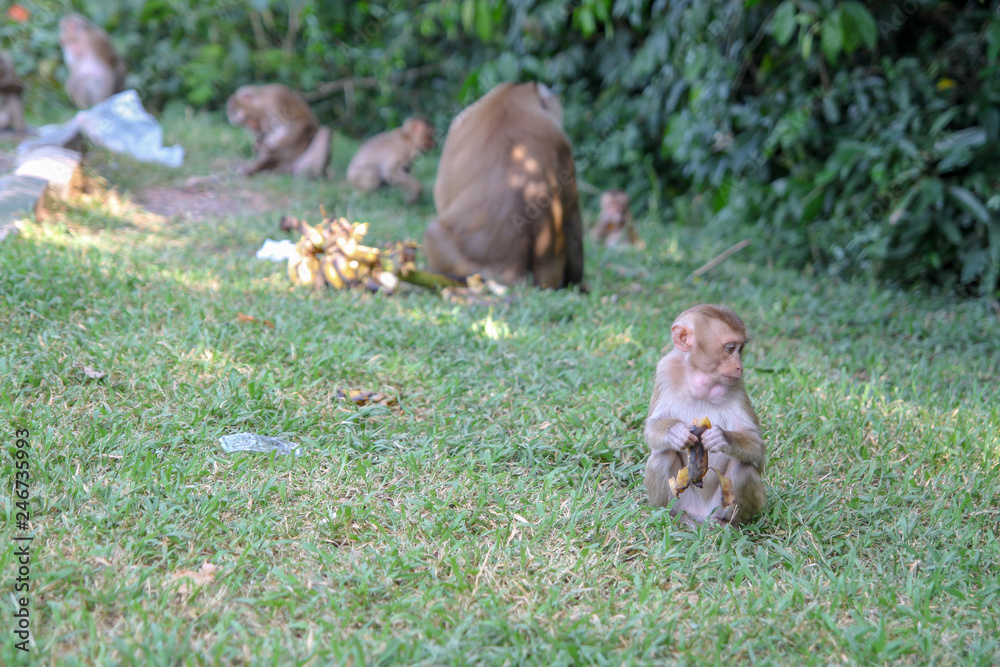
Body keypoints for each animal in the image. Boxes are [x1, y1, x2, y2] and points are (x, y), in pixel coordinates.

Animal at [640, 304, 764, 528]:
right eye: (730, 348)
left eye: (740, 349)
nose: (740, 367)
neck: (702, 384)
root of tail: (700, 514)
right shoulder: (664, 371)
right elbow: (652, 429)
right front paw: (675, 432)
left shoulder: (738, 386)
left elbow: (758, 447)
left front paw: (721, 437)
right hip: (683, 500)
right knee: (662, 456)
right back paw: (672, 517)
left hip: (719, 504)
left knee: (743, 467)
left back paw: (726, 524)